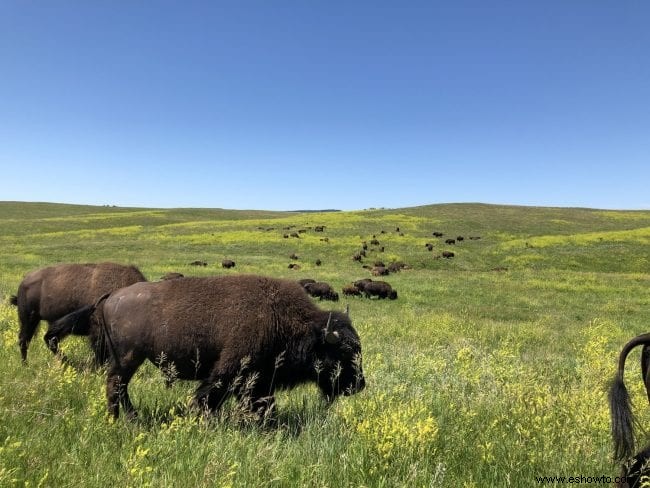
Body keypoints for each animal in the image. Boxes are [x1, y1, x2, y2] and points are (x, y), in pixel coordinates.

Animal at [10, 264, 145, 362]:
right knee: (24, 341)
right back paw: (26, 365)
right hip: (29, 320)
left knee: (49, 340)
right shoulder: (98, 332)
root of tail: (24, 282)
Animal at [50, 274, 364, 420]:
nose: (358, 385)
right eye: (342, 352)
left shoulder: (259, 380)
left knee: (119, 387)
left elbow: (262, 403)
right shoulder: (228, 371)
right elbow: (208, 396)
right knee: (116, 385)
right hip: (128, 359)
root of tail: (112, 296)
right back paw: (124, 418)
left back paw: (129, 416)